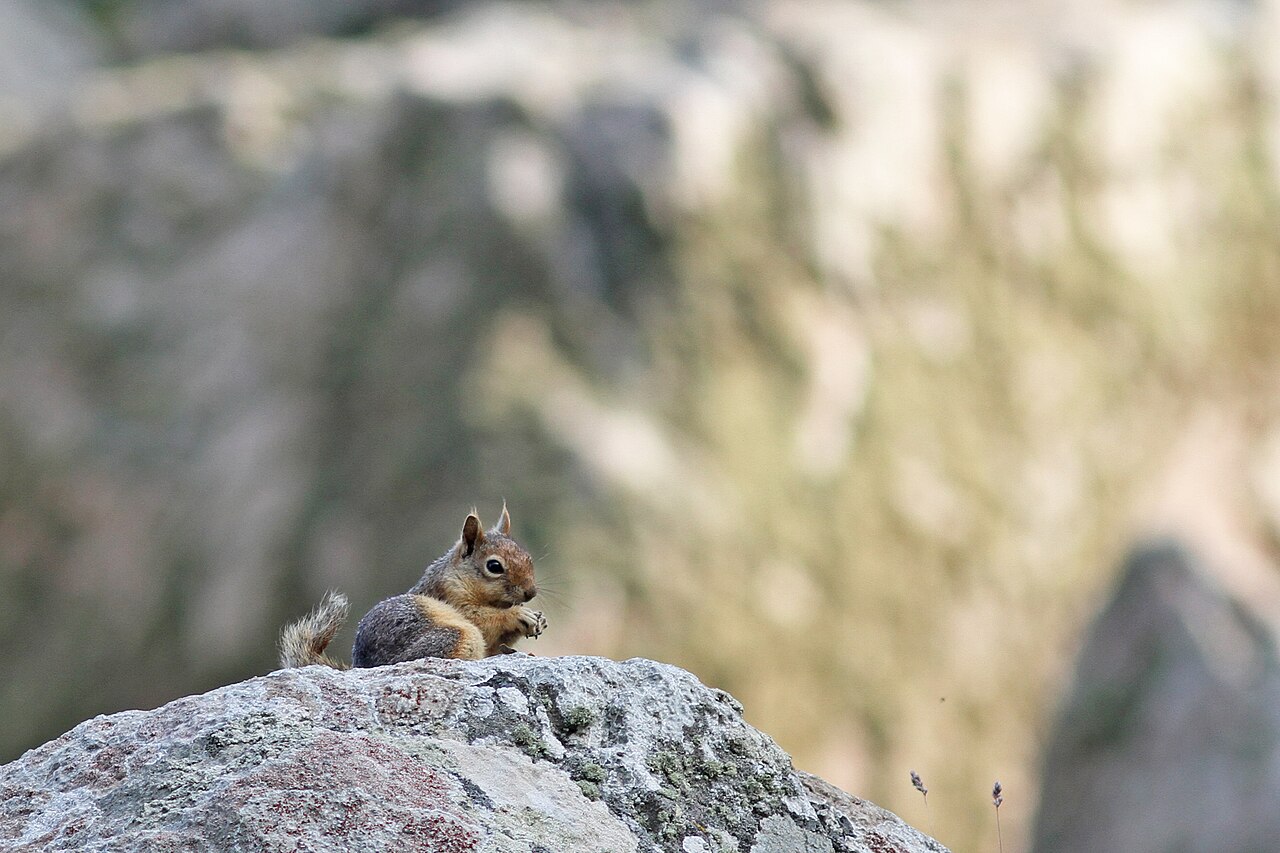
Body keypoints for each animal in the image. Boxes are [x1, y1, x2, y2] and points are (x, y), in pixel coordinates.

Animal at [278, 506, 546, 669]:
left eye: (528, 557)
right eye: (494, 566)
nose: (530, 592)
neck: (457, 578)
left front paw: (539, 621)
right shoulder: (453, 600)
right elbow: (484, 619)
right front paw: (518, 614)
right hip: (451, 637)